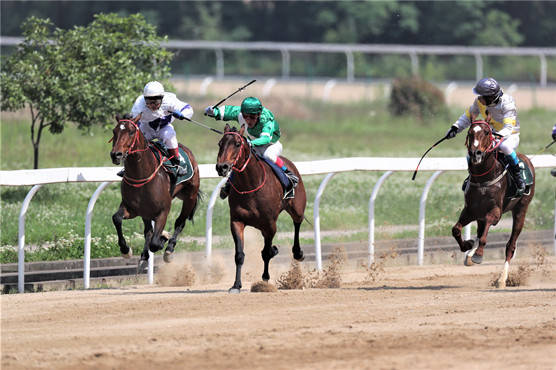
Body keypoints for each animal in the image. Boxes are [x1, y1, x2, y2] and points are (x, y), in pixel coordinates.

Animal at [109, 114, 201, 270]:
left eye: (131, 132)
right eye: (114, 131)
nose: (116, 154)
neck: (141, 174)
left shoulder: (163, 211)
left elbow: (155, 242)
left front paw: (164, 237)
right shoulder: (132, 208)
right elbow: (117, 218)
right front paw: (125, 250)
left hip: (190, 197)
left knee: (180, 223)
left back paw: (169, 249)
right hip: (146, 211)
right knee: (148, 231)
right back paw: (144, 257)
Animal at [216, 125, 304, 294]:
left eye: (237, 144)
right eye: (220, 143)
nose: (221, 167)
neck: (250, 184)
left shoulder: (270, 224)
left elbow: (266, 253)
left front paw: (265, 279)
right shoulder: (236, 221)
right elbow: (239, 254)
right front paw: (236, 285)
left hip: (297, 208)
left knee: (297, 223)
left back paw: (298, 252)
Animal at [452, 120, 536, 288]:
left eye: (486, 132)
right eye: (470, 133)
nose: (475, 153)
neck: (483, 178)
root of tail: (527, 159)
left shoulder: (495, 212)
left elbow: (485, 235)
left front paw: (478, 255)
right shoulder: (470, 210)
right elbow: (456, 229)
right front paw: (467, 245)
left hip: (521, 209)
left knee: (510, 245)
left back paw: (502, 279)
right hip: (479, 214)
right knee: (480, 232)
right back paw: (469, 255)